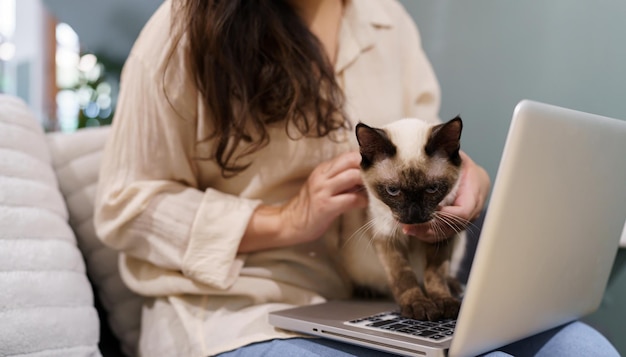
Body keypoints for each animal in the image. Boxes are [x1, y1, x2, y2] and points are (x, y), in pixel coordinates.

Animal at [338, 116, 466, 320]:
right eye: (393, 191)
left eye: (432, 189)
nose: (414, 215)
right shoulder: (387, 239)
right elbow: (404, 277)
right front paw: (418, 305)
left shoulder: (440, 237)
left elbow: (436, 275)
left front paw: (445, 302)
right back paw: (367, 291)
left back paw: (453, 285)